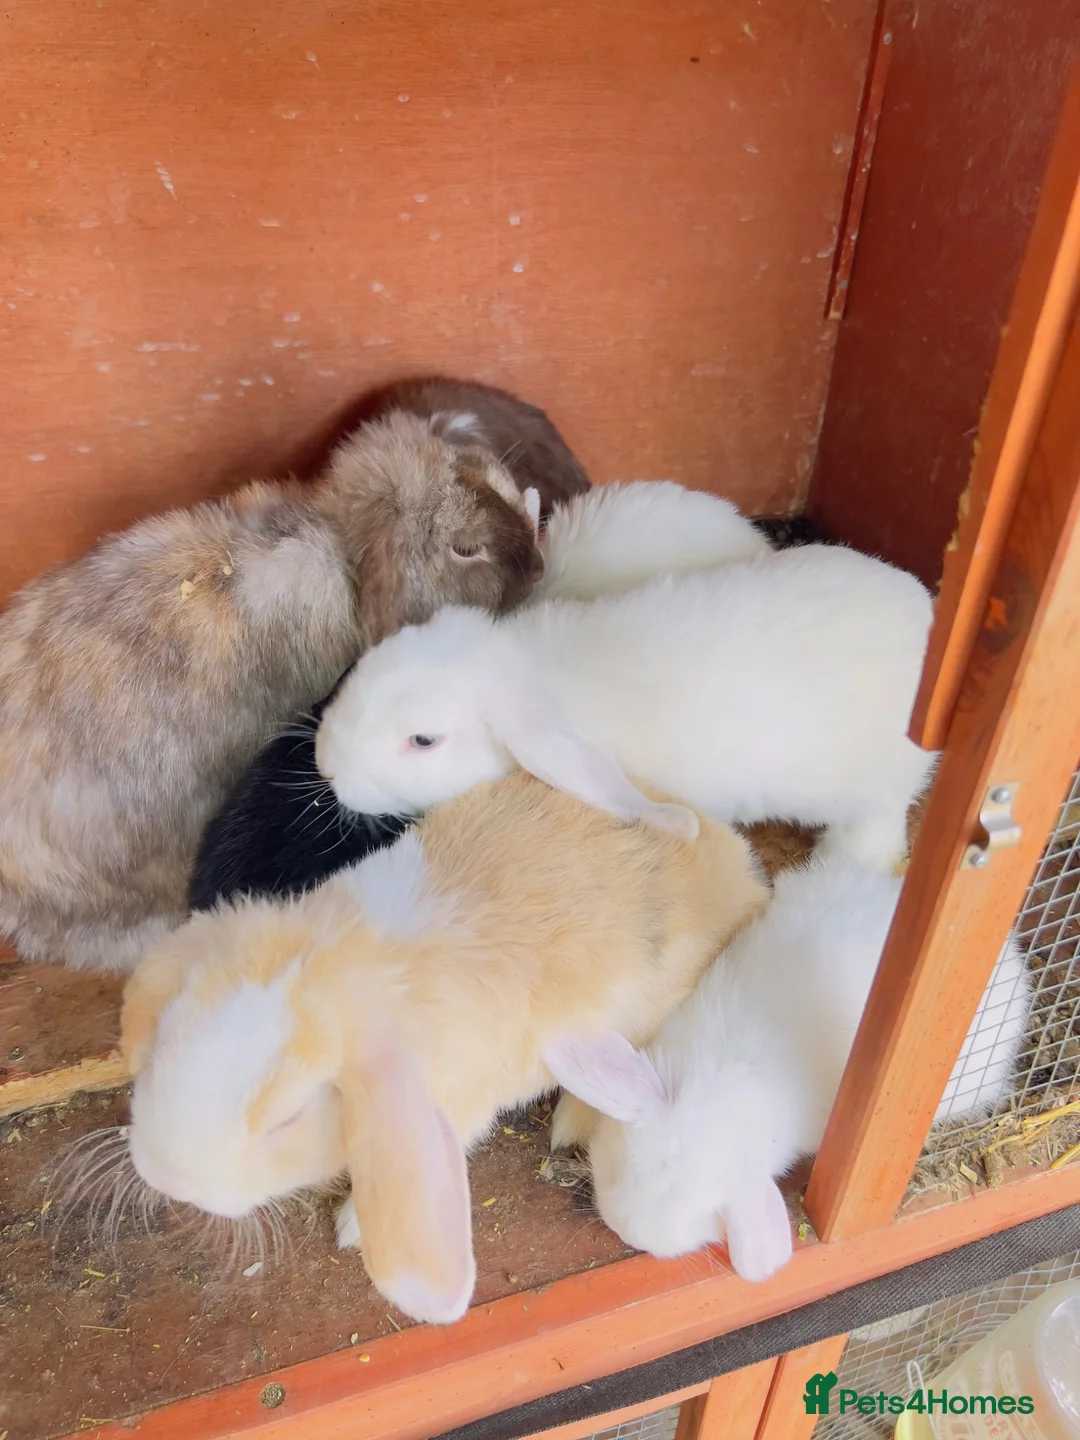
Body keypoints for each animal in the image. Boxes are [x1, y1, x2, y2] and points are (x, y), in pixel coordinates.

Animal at [118, 770, 769, 1325]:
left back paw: (571, 1123)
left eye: (288, 1117)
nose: (163, 1173)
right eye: (171, 1029)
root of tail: (742, 878)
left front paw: (352, 1227)